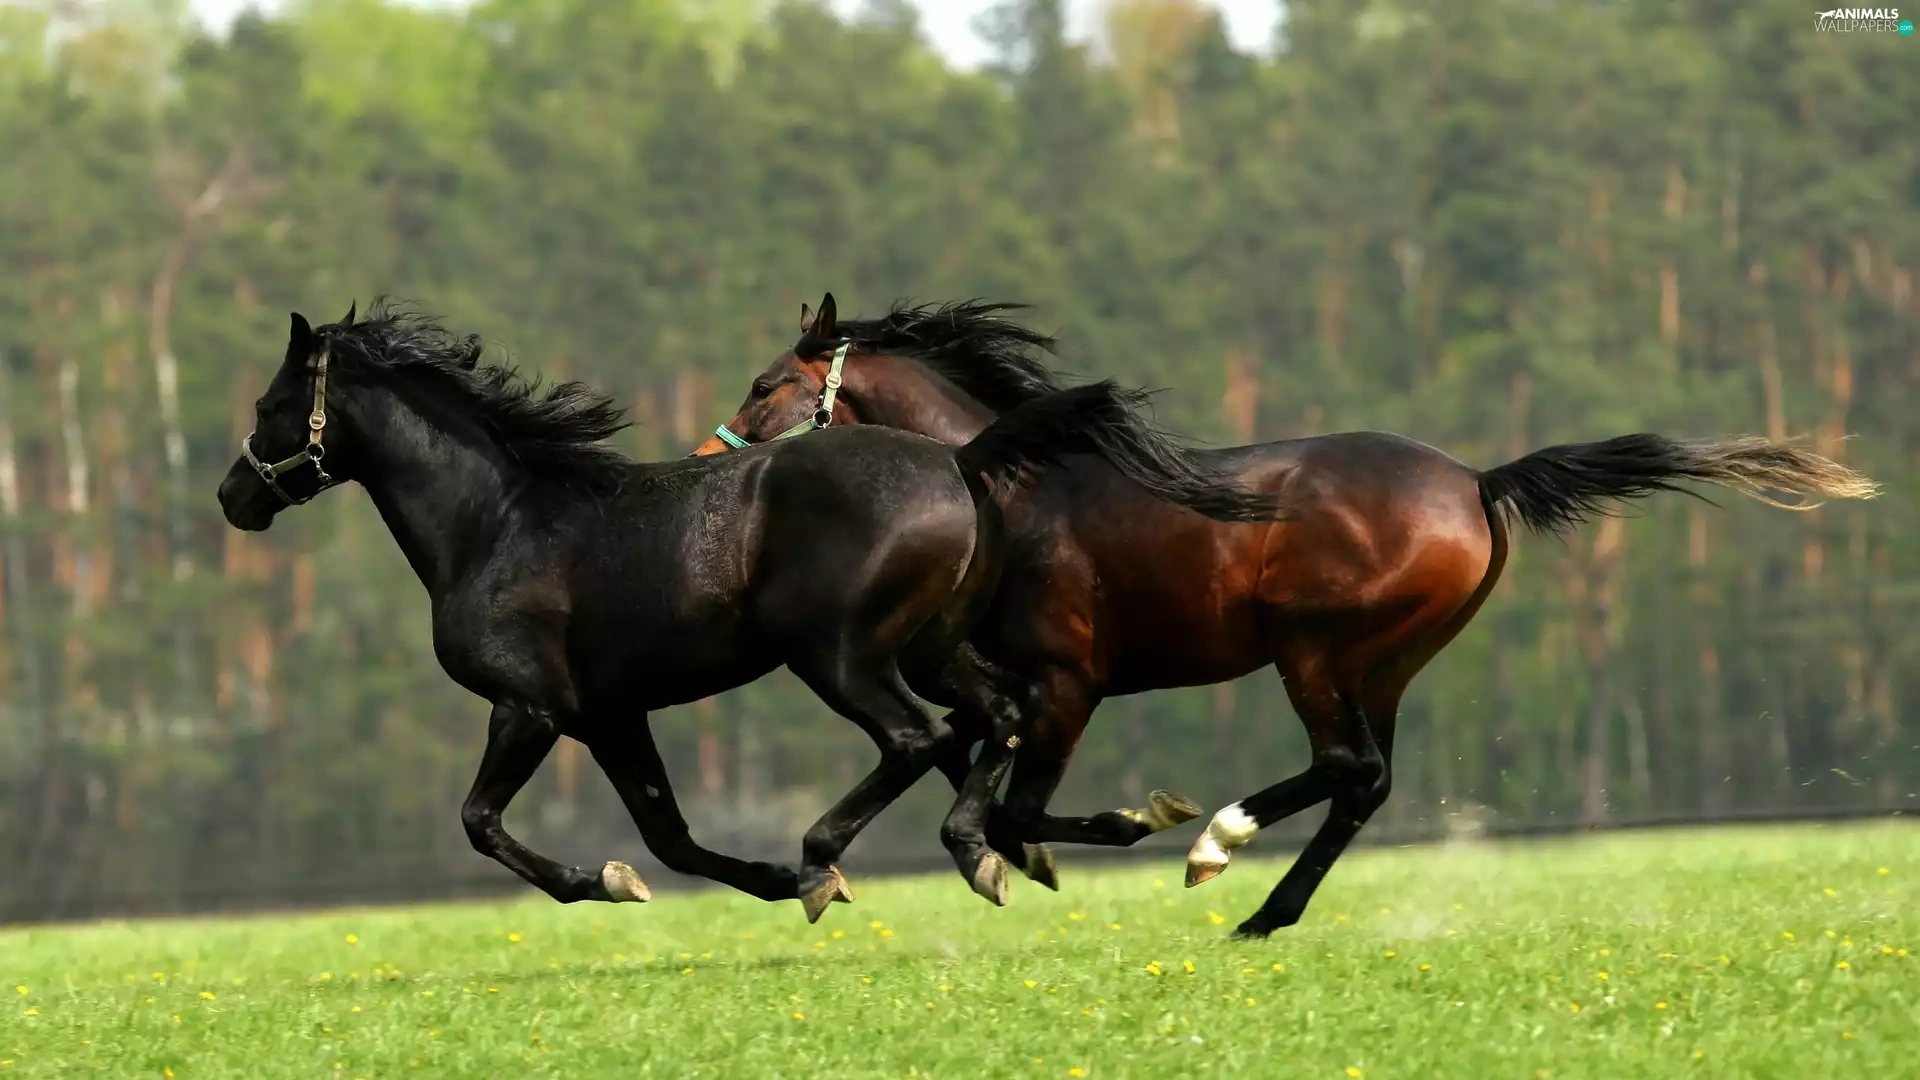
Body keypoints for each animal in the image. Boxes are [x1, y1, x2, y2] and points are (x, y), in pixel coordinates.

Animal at [216, 298, 1279, 919]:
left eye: (269, 406)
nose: (233, 496)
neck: (500, 522)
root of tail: (962, 461)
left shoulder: (529, 709)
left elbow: (481, 821)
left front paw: (602, 883)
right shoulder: (611, 715)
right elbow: (669, 836)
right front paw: (687, 878)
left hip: (840, 657)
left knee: (920, 738)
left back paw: (832, 861)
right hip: (932, 648)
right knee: (998, 718)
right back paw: (1047, 838)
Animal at [694, 298, 1881, 937]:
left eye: (765, 382)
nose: (710, 460)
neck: (1010, 488)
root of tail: (1477, 479)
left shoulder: (1065, 684)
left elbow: (1015, 807)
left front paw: (1127, 826)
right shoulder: (993, 685)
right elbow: (975, 792)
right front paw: (1011, 858)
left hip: (1314, 650)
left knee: (1348, 770)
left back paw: (1219, 849)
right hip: (1384, 664)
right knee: (1365, 780)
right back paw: (1262, 900)